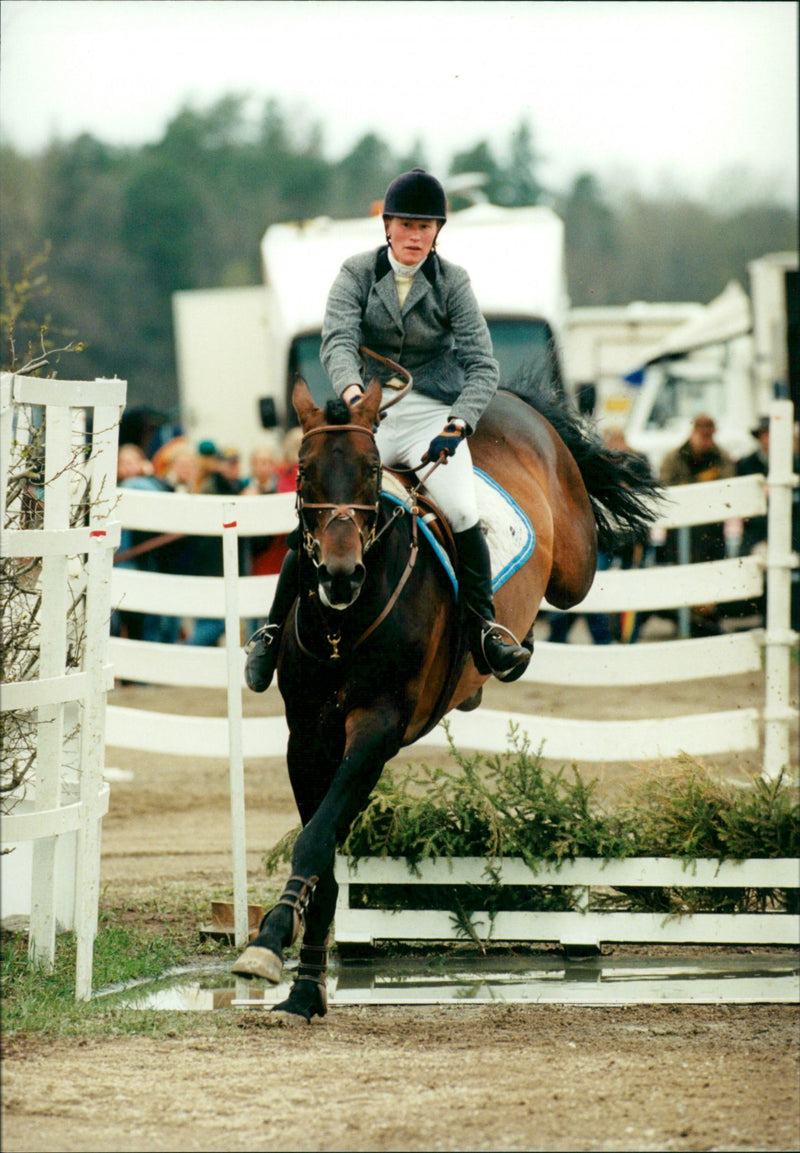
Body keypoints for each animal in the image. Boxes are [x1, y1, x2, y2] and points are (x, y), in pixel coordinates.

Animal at [230, 366, 659, 1019]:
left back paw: (504, 642)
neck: (342, 624)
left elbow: (316, 839)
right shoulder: (307, 737)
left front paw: (272, 939)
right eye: (303, 471)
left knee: (568, 582)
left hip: (574, 568)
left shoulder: (376, 729)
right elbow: (321, 845)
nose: (339, 576)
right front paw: (302, 985)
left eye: (371, 471)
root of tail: (511, 402)